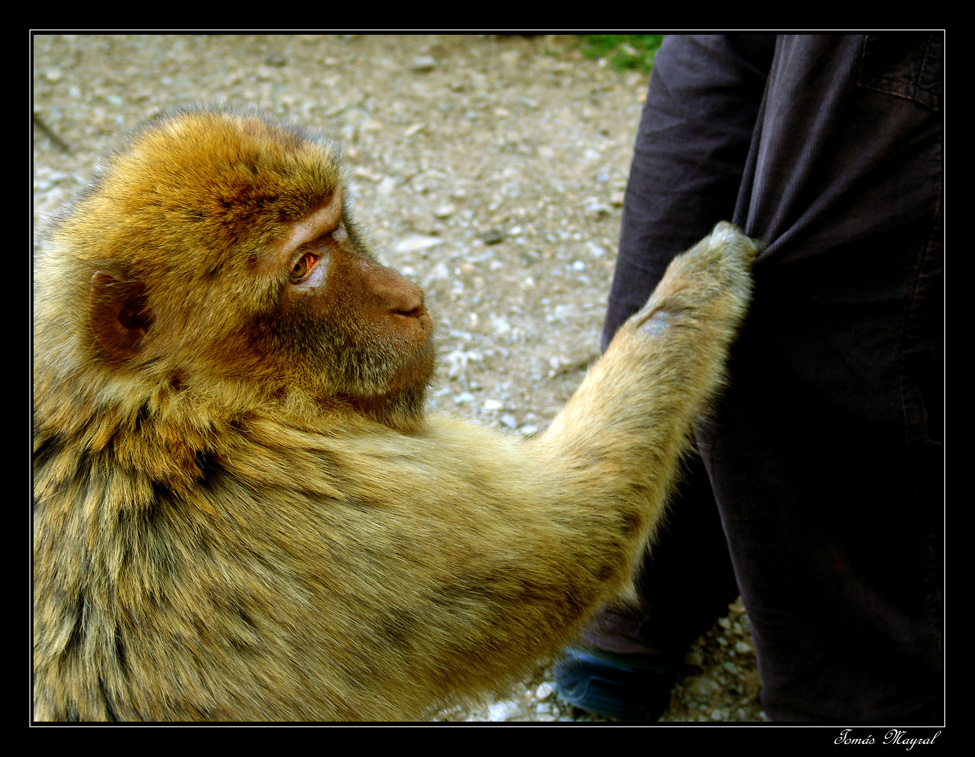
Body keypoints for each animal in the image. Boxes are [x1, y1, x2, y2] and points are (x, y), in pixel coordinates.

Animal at [32, 106, 764, 720]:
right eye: (303, 265)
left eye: (335, 230)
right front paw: (697, 285)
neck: (171, 404)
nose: (407, 297)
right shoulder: (339, 504)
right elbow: (584, 532)